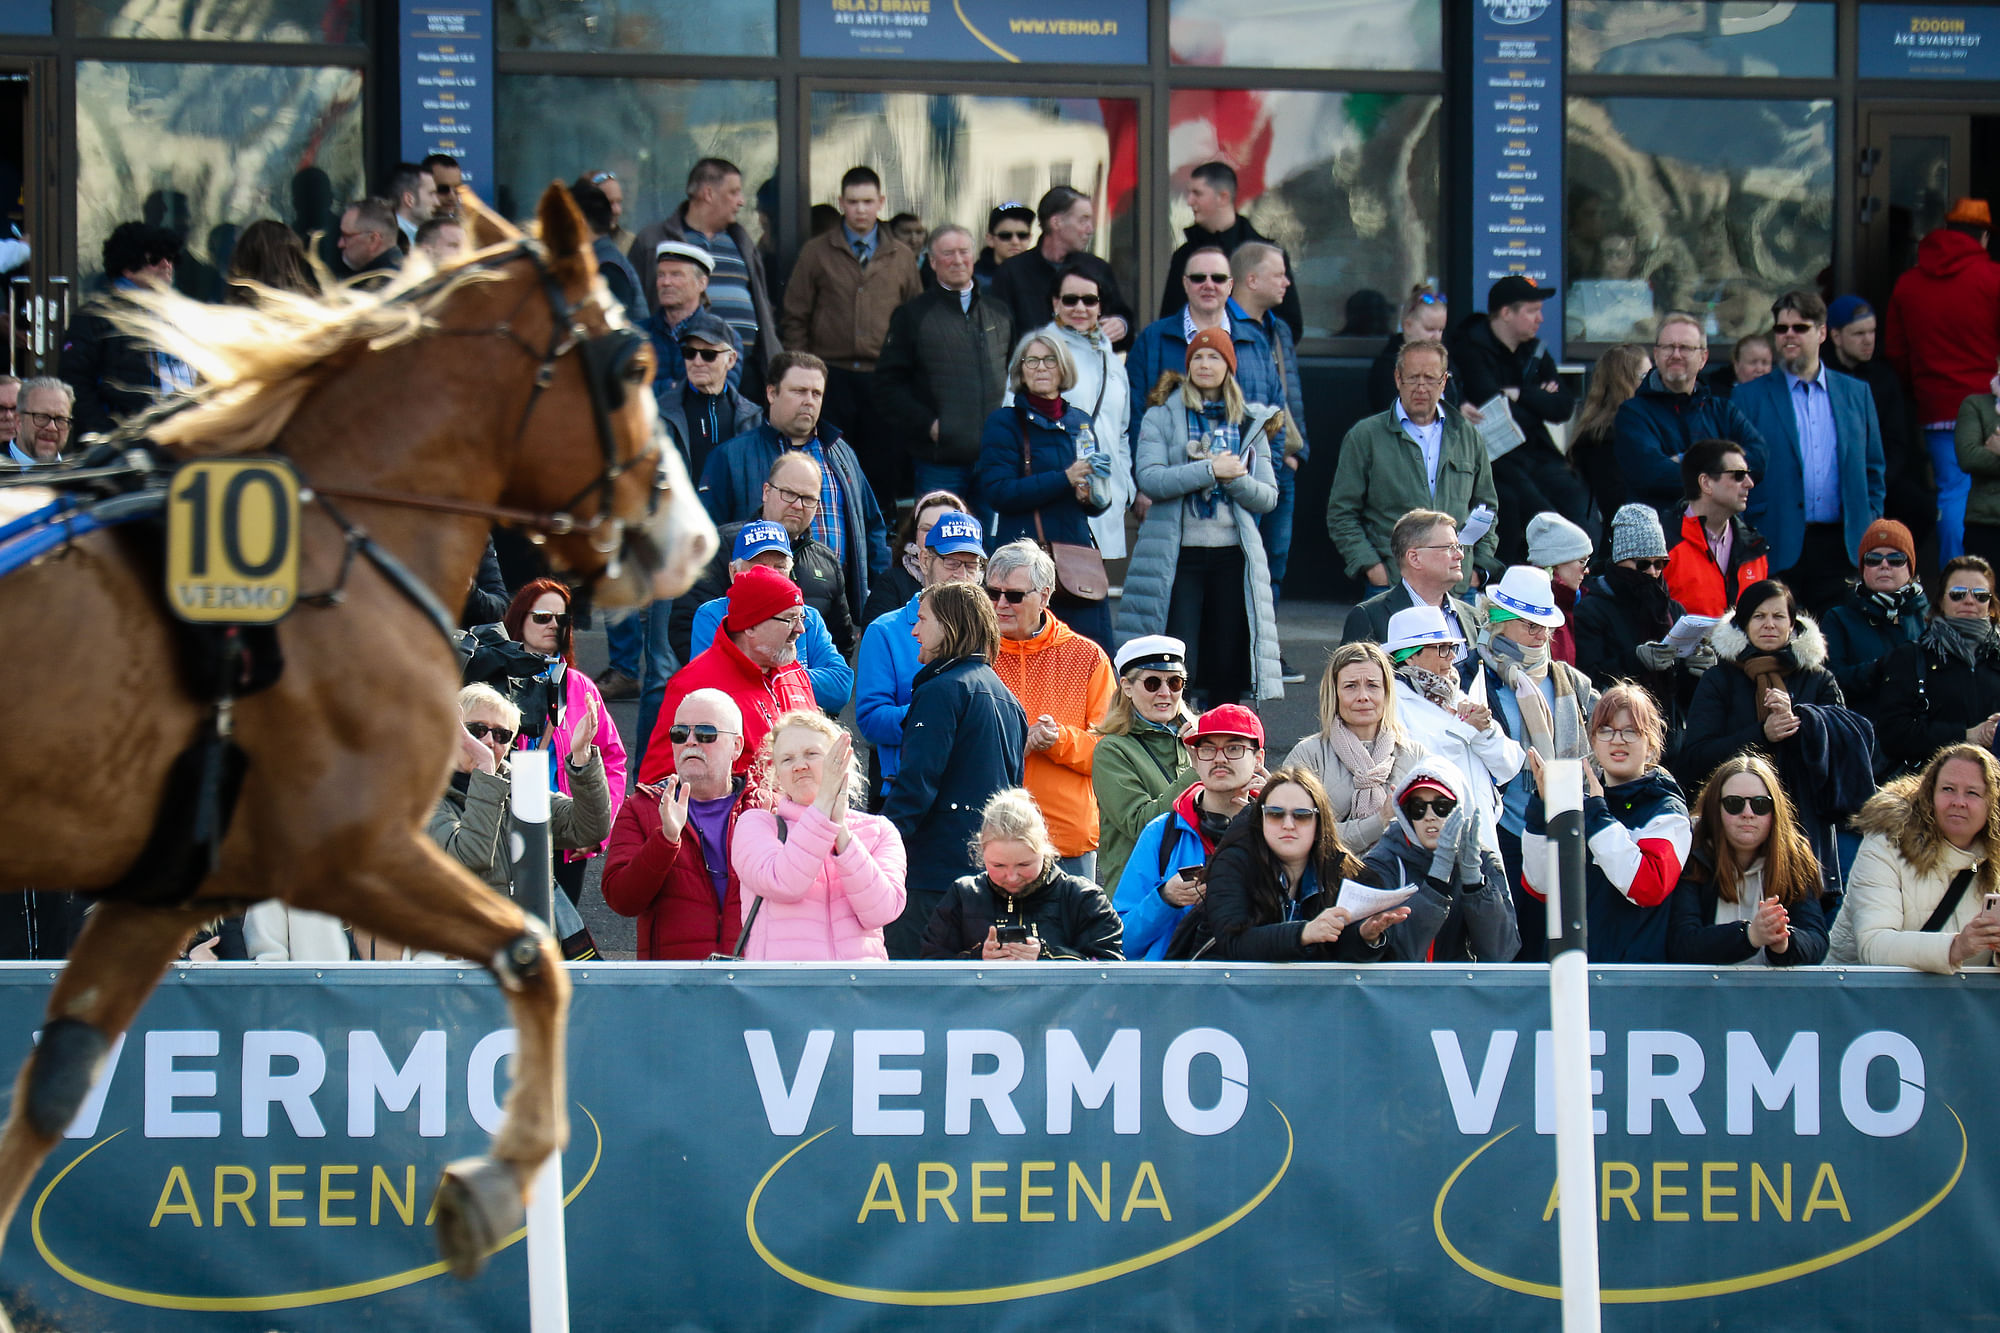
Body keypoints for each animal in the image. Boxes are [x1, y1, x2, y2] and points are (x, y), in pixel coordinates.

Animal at [0, 182, 716, 1304]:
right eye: (636, 367)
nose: (693, 539)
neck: (321, 550)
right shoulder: (349, 849)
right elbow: (535, 957)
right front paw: (495, 1180)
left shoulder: (168, 890)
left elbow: (55, 1084)